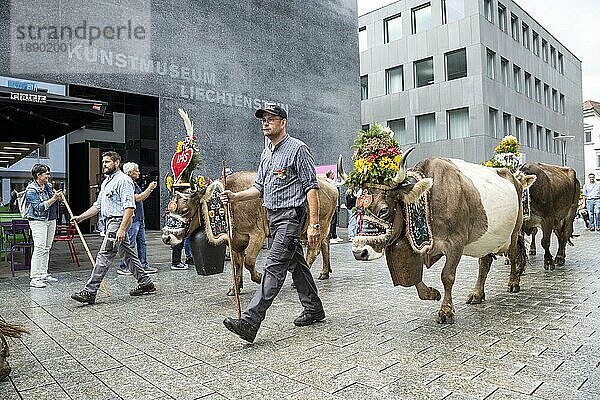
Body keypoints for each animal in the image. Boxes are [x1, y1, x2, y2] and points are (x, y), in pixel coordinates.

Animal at [162, 172, 340, 294]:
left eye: (185, 210)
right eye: (169, 210)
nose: (166, 237)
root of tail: (329, 183)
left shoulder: (257, 235)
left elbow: (249, 261)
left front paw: (259, 277)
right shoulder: (234, 241)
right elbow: (237, 264)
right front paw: (234, 288)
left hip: (318, 226)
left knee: (314, 250)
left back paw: (299, 281)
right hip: (318, 229)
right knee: (325, 245)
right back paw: (324, 273)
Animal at [340, 126, 536, 324]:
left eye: (383, 210)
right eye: (358, 209)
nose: (359, 252)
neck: (429, 199)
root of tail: (514, 178)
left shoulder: (456, 243)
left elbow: (447, 276)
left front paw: (446, 311)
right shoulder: (420, 243)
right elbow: (416, 279)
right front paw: (432, 294)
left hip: (513, 232)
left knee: (513, 255)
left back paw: (513, 282)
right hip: (486, 239)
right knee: (485, 262)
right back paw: (477, 293)